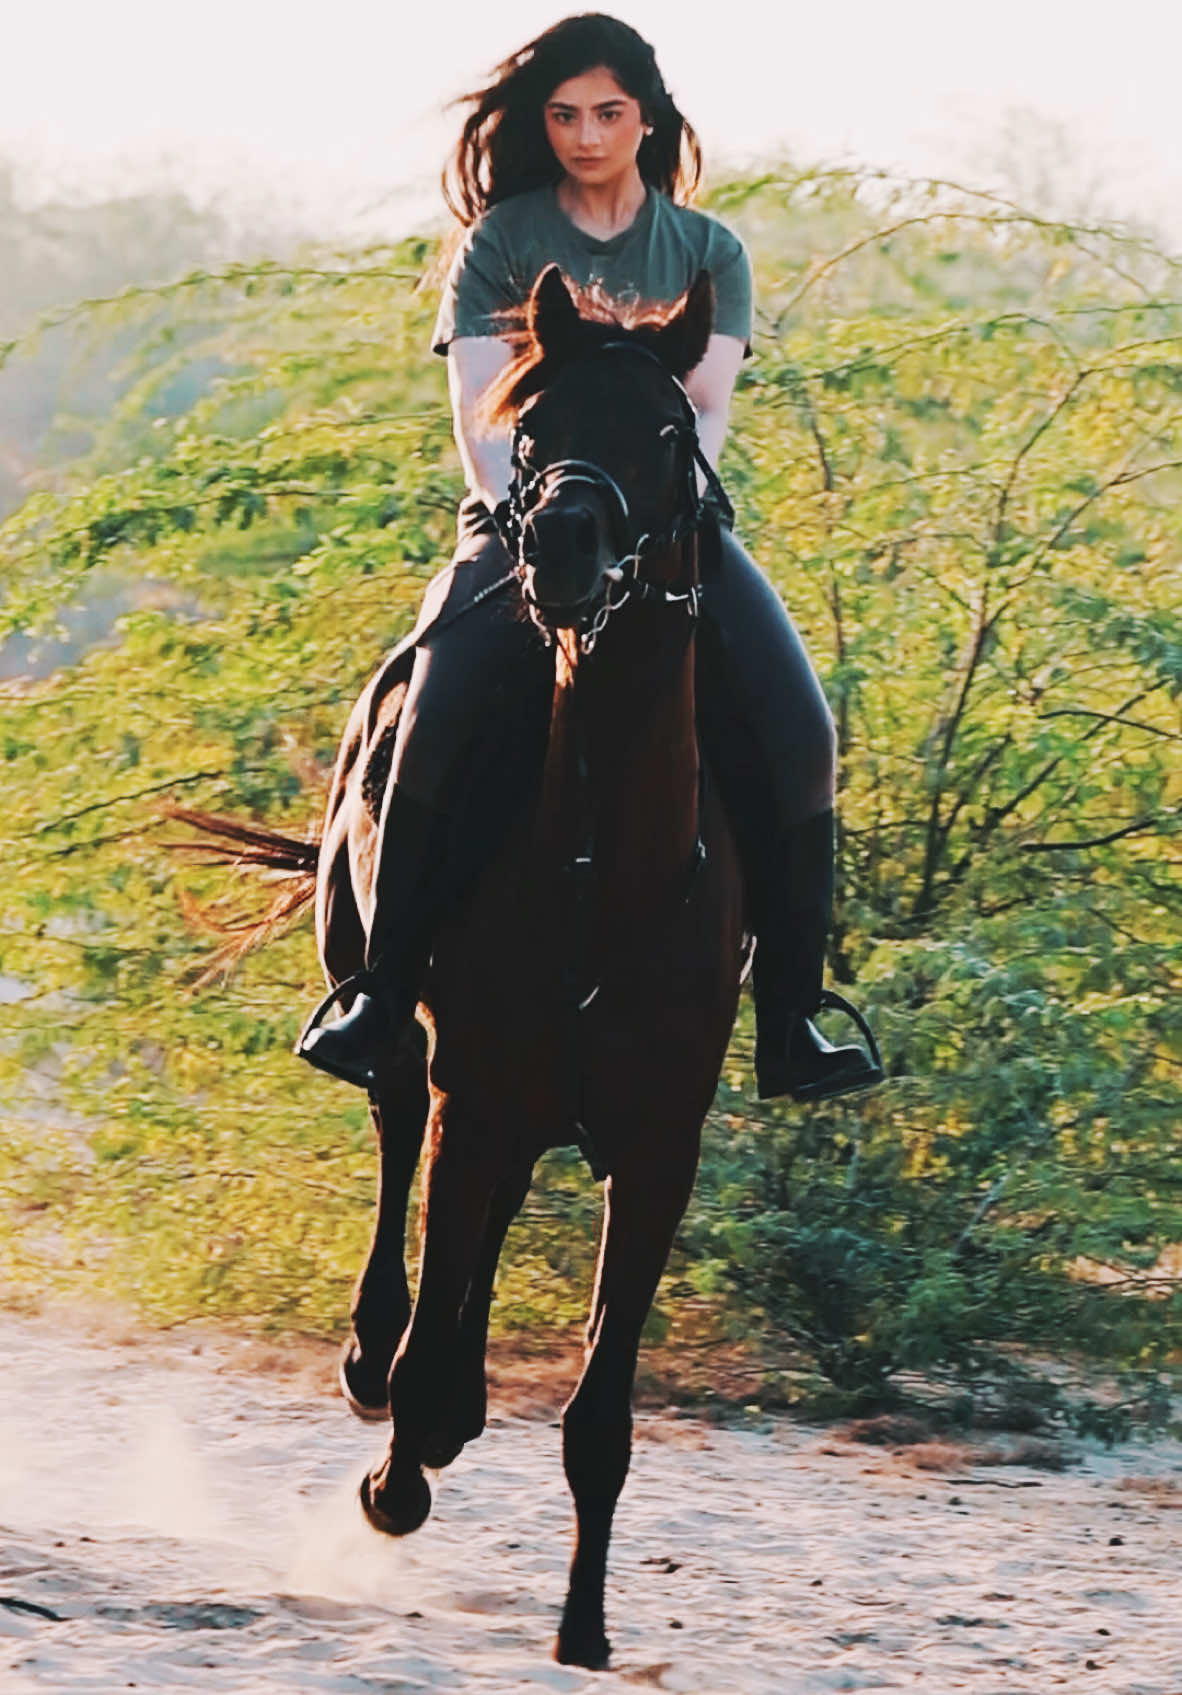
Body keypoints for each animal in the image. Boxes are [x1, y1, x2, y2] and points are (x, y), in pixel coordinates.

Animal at [172, 271, 746, 1661]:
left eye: (668, 433)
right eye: (531, 428)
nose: (565, 547)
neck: (606, 865)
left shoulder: (660, 1145)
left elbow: (600, 1421)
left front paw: (585, 1629)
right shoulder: (475, 1099)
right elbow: (433, 1352)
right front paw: (399, 1474)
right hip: (400, 1018)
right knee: (392, 1120)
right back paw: (376, 1368)